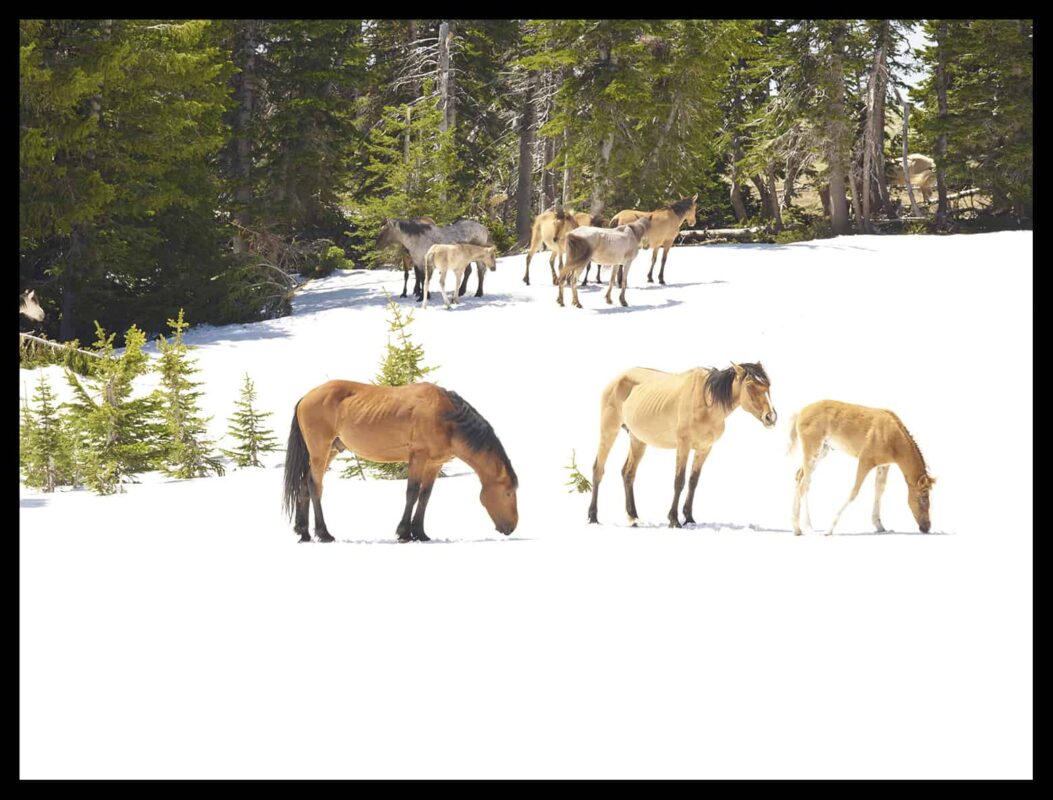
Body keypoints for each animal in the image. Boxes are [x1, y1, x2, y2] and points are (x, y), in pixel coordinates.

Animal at [282, 380, 518, 543]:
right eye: (508, 492)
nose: (512, 527)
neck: (446, 418)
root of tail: (306, 397)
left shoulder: (434, 464)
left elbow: (425, 497)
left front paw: (420, 533)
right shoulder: (418, 456)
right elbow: (412, 493)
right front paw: (404, 532)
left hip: (331, 450)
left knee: (303, 485)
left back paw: (304, 533)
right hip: (320, 451)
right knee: (315, 486)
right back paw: (324, 534)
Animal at [587, 363, 776, 527]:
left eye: (768, 385)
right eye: (750, 384)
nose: (771, 417)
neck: (706, 401)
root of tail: (617, 379)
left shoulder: (704, 448)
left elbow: (693, 481)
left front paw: (689, 518)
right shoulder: (683, 445)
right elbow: (679, 481)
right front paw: (674, 520)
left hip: (638, 440)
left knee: (628, 473)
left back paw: (633, 517)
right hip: (609, 431)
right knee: (598, 470)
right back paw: (593, 517)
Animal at [789, 400, 936, 535]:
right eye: (923, 497)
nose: (927, 528)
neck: (891, 436)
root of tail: (800, 412)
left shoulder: (884, 465)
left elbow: (879, 490)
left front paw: (880, 526)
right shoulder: (865, 461)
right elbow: (854, 492)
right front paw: (829, 529)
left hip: (822, 452)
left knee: (799, 476)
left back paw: (797, 528)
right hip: (812, 449)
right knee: (805, 484)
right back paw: (808, 527)